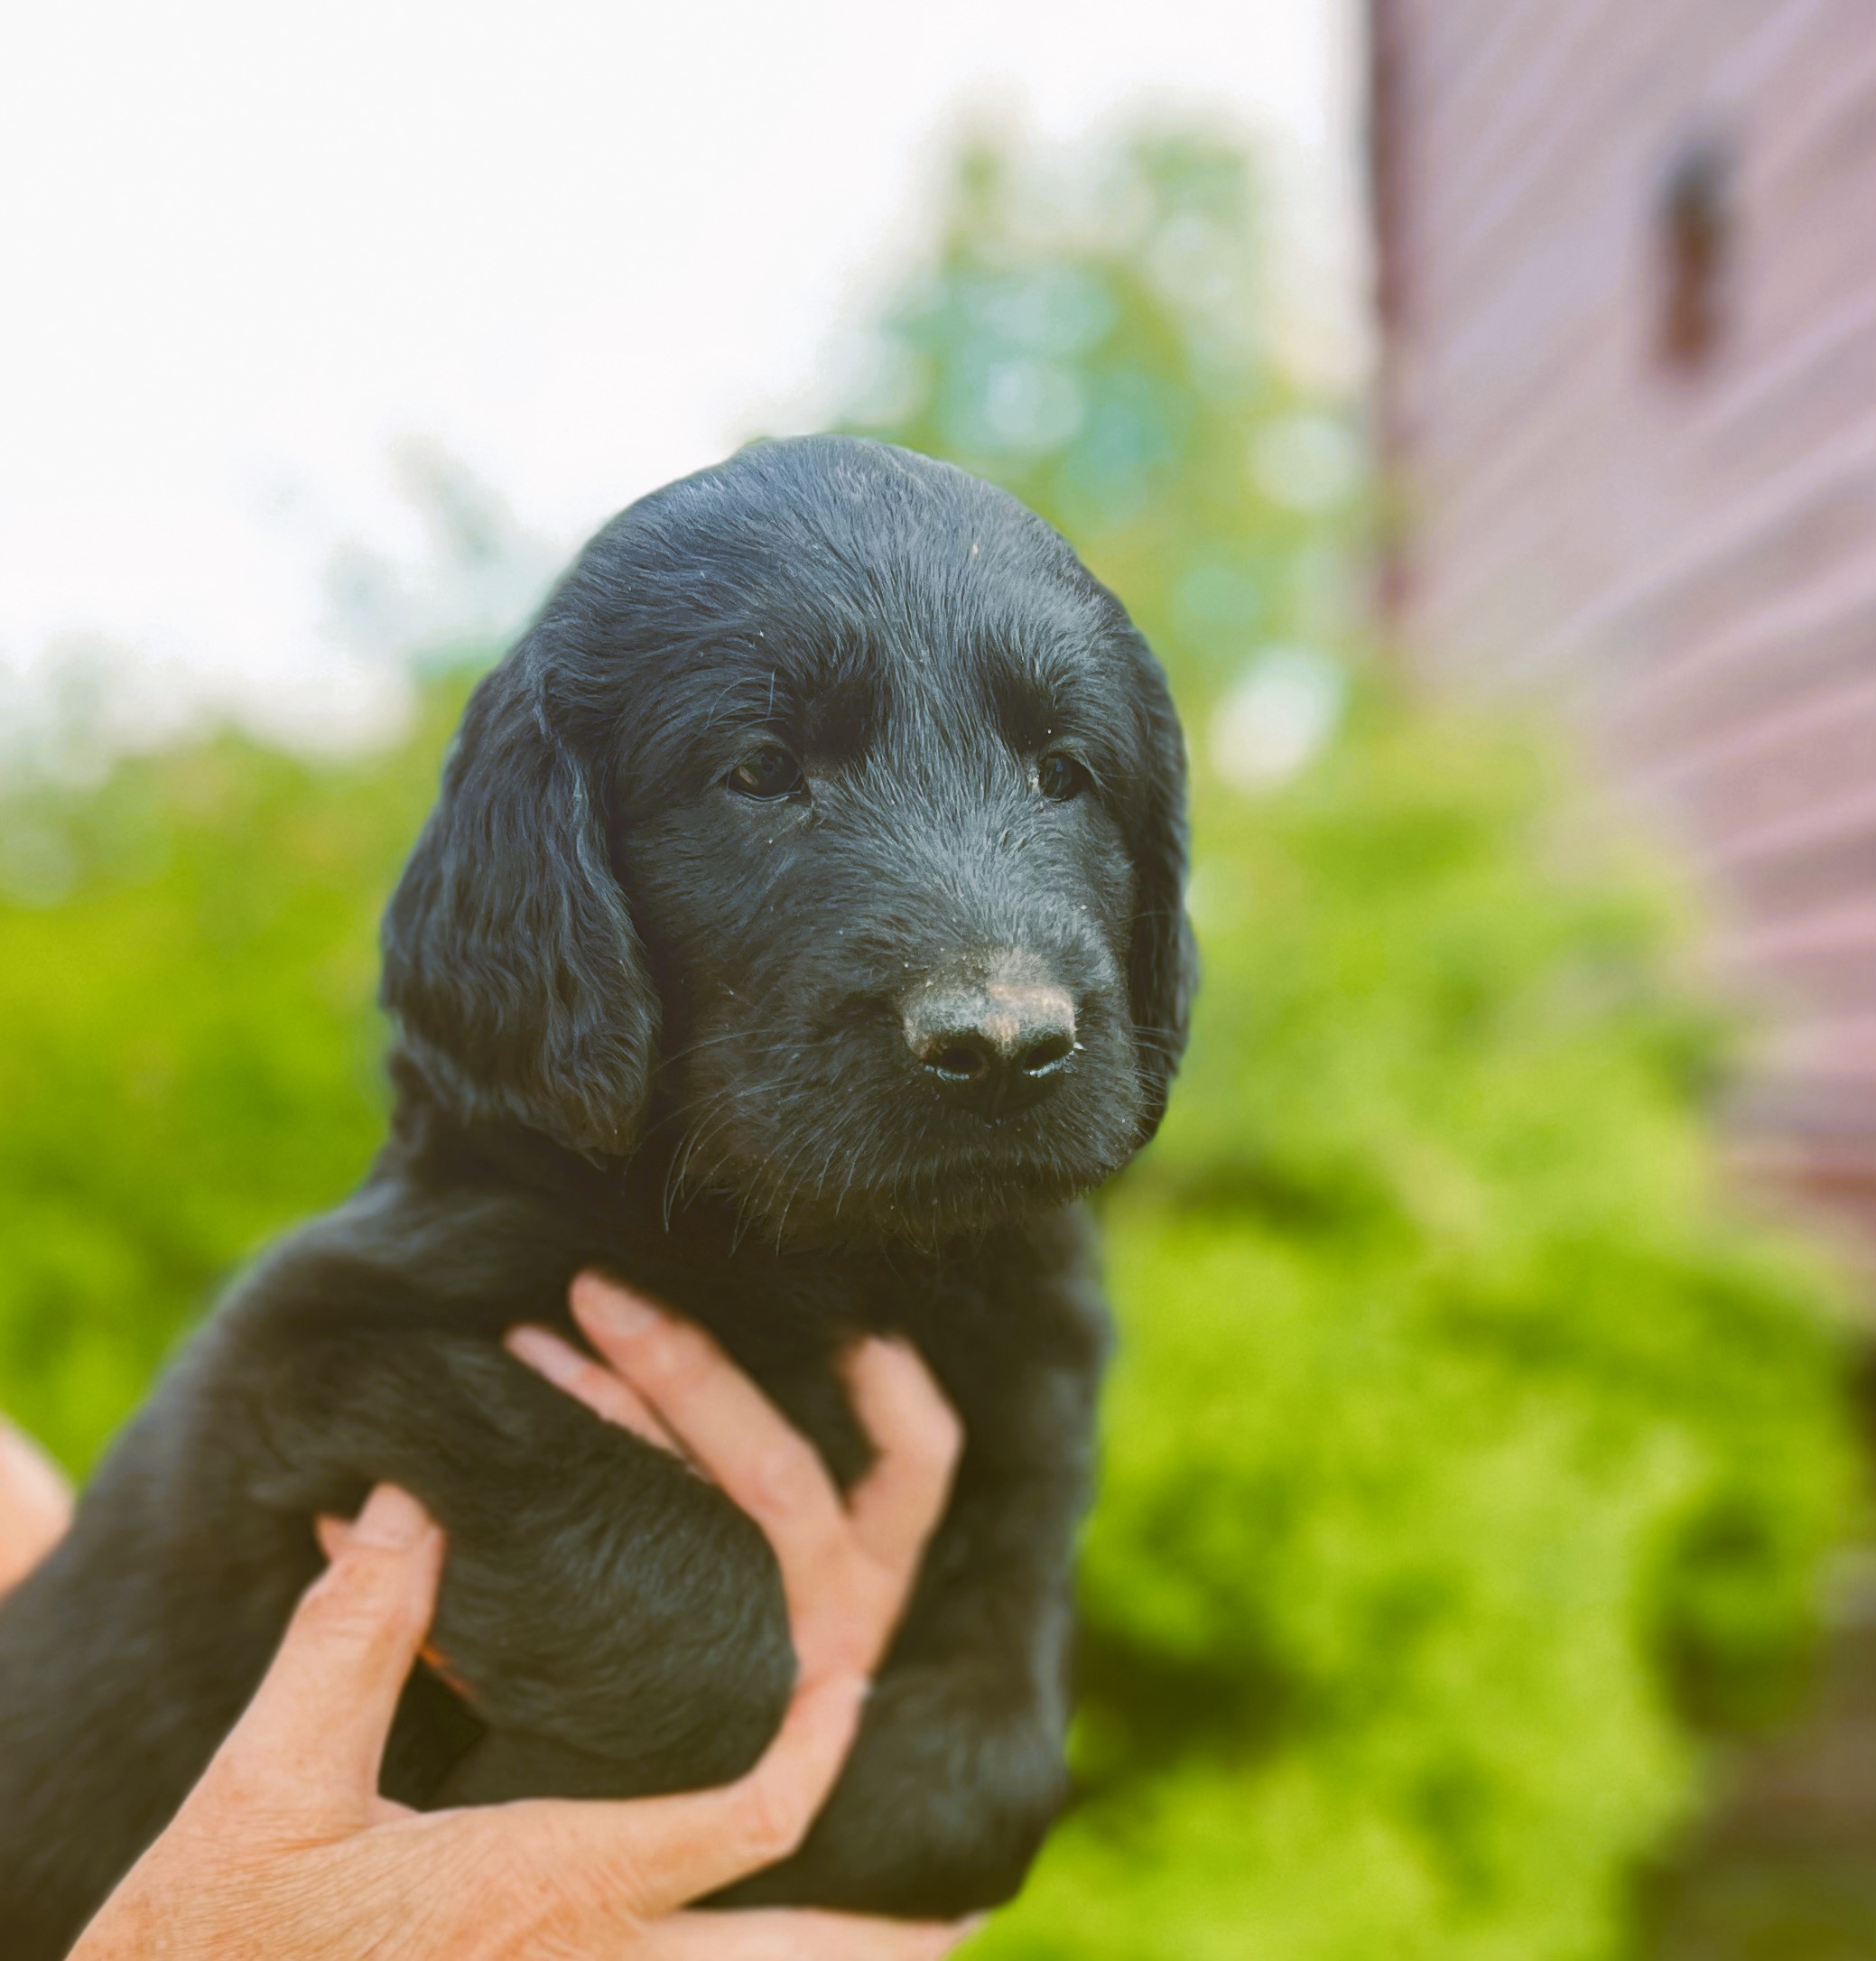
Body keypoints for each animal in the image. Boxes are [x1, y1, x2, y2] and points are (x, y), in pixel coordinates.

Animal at [0, 437, 1192, 1953]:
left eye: (1063, 774)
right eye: (760, 771)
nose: (999, 1045)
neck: (826, 1255)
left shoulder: (1031, 1415)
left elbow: (985, 1778)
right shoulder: (313, 1351)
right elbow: (717, 1616)